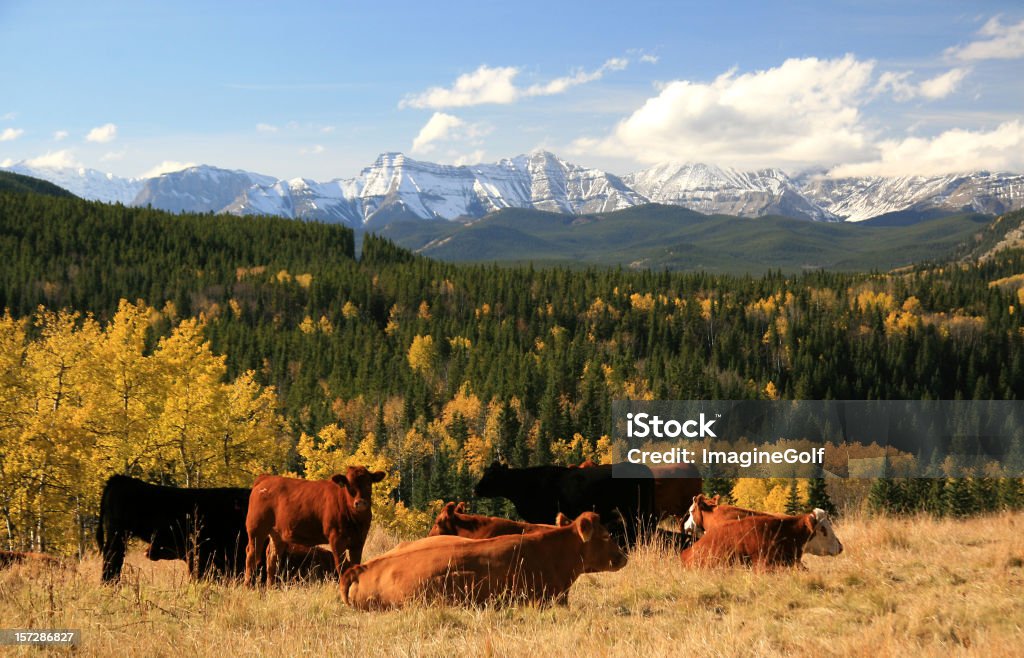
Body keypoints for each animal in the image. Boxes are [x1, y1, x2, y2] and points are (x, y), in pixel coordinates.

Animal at [245, 468, 385, 585]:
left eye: (369, 483)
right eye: (348, 485)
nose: (360, 503)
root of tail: (266, 478)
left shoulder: (359, 541)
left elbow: (355, 565)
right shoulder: (337, 539)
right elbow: (342, 566)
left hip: (277, 534)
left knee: (272, 558)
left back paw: (271, 588)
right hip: (256, 530)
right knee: (252, 555)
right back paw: (249, 586)